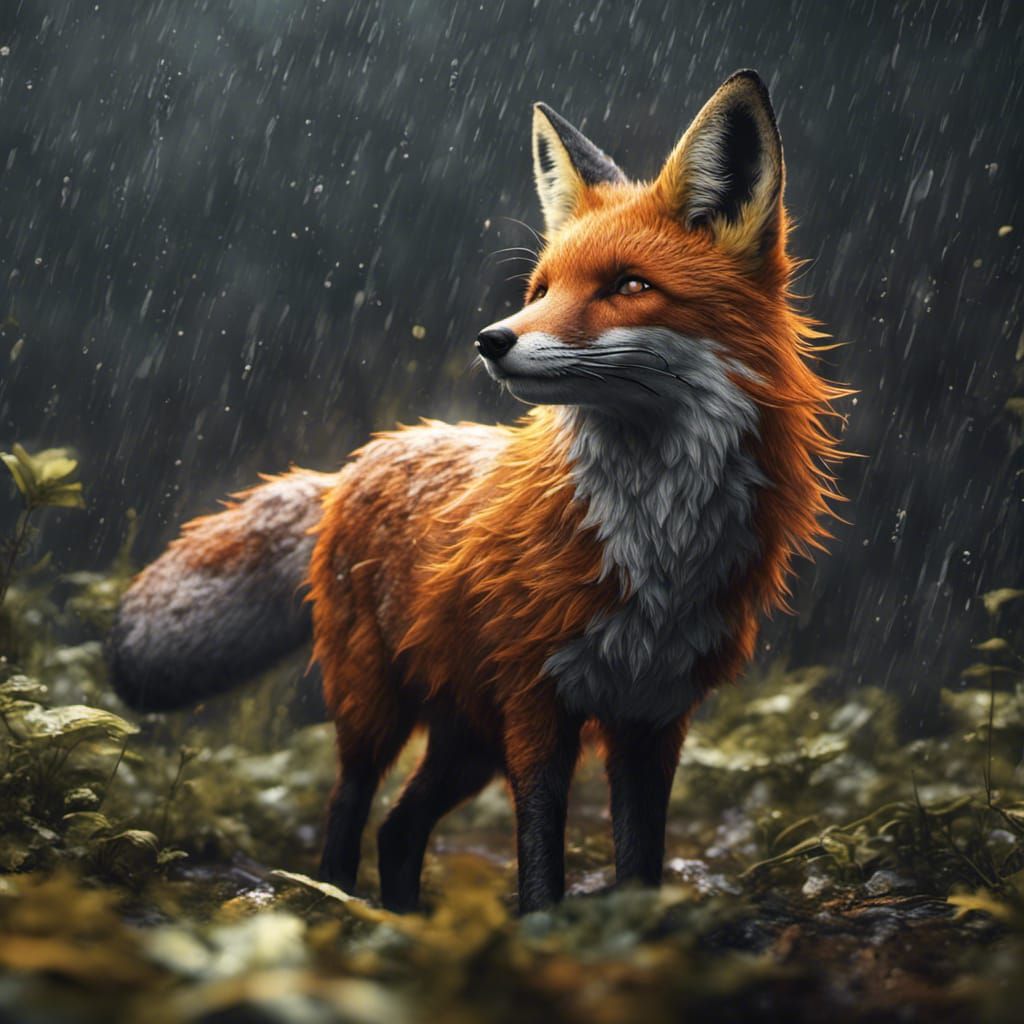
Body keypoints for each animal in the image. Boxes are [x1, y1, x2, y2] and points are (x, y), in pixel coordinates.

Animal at [108, 70, 846, 915]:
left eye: (629, 285)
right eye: (540, 288)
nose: (493, 340)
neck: (655, 543)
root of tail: (362, 460)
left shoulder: (656, 712)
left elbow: (640, 865)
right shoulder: (536, 701)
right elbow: (539, 868)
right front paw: (540, 932)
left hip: (467, 739)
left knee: (399, 829)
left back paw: (403, 920)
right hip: (378, 705)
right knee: (348, 809)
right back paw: (334, 906)